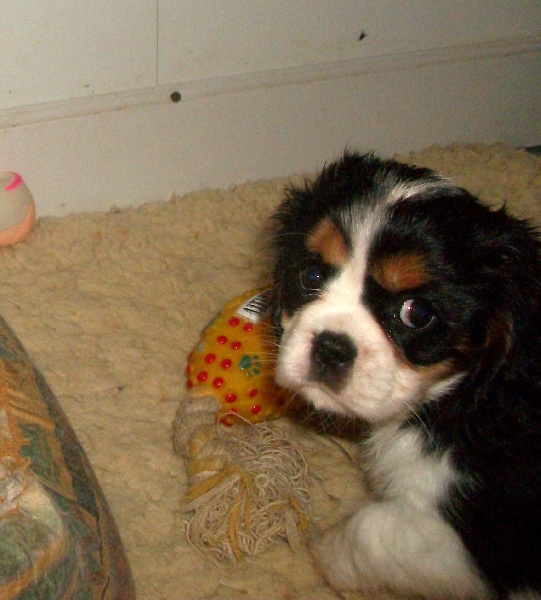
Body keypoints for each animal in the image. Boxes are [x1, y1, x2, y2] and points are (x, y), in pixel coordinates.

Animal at [270, 152, 541, 599]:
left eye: (417, 313)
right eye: (311, 276)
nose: (331, 346)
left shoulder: (459, 547)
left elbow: (373, 528)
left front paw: (326, 554)